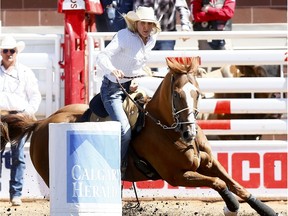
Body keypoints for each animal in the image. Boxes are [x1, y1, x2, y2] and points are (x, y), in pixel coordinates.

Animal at [1, 56, 278, 215]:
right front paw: (231, 206)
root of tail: (41, 123)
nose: (189, 131)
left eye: (197, 93)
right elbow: (219, 184)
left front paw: (265, 209)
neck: (166, 129)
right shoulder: (177, 175)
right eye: (177, 94)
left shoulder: (209, 163)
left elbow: (236, 184)